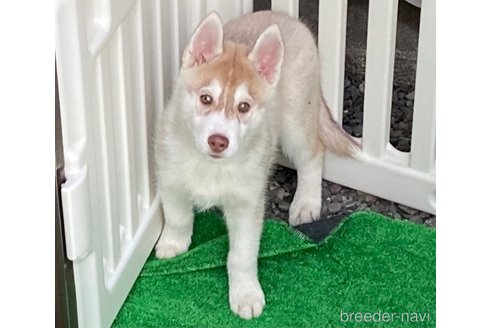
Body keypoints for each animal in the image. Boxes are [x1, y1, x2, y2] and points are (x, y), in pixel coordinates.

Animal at [154, 10, 358, 320]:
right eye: (205, 98)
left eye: (244, 107)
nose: (218, 141)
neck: (211, 166)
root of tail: (285, 15)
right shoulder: (170, 175)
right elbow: (178, 217)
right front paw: (173, 244)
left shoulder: (247, 204)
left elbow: (242, 256)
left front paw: (246, 294)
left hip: (295, 119)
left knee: (313, 153)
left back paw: (306, 203)